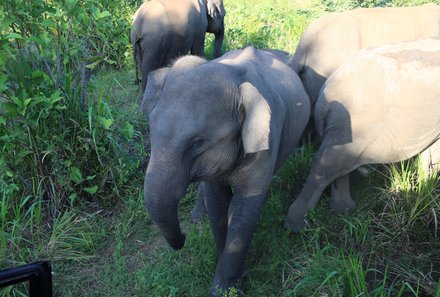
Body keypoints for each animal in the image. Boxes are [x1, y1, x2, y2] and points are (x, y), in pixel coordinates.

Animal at [141, 46, 310, 294]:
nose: (183, 236)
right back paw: (197, 218)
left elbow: (244, 210)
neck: (235, 79)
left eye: (197, 143)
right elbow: (217, 203)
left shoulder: (268, 138)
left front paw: (227, 288)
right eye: (151, 128)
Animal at [286, 37, 440, 231]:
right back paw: (297, 225)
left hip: (343, 126)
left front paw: (425, 188)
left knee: (339, 161)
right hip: (354, 123)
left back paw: (344, 211)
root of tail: (325, 98)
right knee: (328, 162)